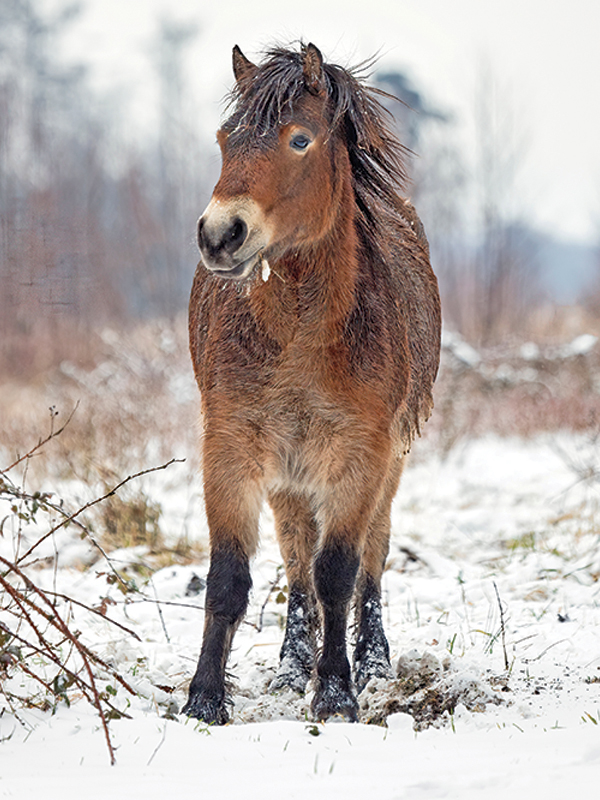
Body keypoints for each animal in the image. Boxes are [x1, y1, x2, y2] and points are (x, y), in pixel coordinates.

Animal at [183, 42, 441, 724]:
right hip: (288, 472)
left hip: (388, 461)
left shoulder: (361, 452)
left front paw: (336, 692)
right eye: (225, 139)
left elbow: (340, 570)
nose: (221, 235)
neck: (300, 331)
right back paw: (291, 664)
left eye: (299, 139)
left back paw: (371, 661)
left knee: (372, 554)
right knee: (295, 555)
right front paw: (204, 699)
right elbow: (231, 576)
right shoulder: (232, 446)